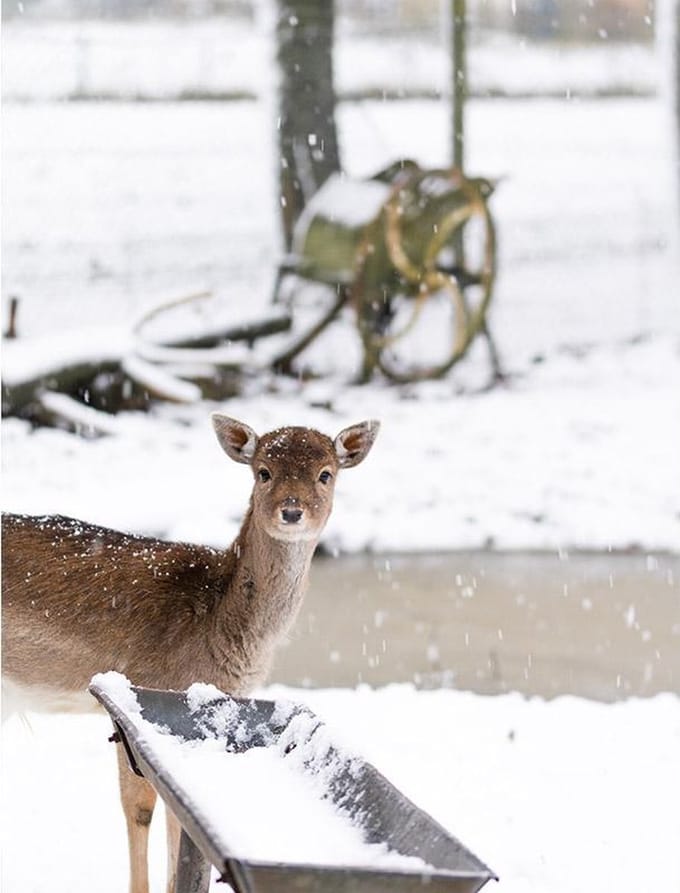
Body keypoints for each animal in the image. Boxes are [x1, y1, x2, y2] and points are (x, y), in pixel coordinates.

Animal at [2, 413, 379, 893]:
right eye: (263, 471)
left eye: (326, 474)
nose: (291, 511)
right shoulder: (138, 689)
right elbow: (143, 807)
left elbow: (180, 823)